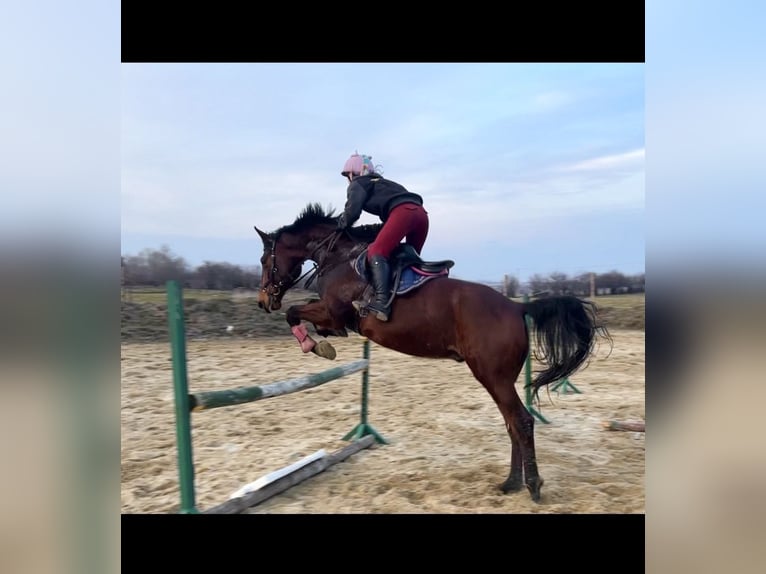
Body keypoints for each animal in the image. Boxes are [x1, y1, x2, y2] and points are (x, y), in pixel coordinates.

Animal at [254, 202, 612, 502]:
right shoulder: (332, 317)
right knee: (512, 422)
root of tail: (516, 306)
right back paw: (510, 483)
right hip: (497, 379)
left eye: (263, 260)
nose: (263, 302)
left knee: (521, 421)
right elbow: (301, 313)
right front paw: (319, 342)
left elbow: (294, 313)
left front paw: (315, 345)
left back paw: (533, 486)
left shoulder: (333, 312)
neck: (339, 256)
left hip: (492, 376)